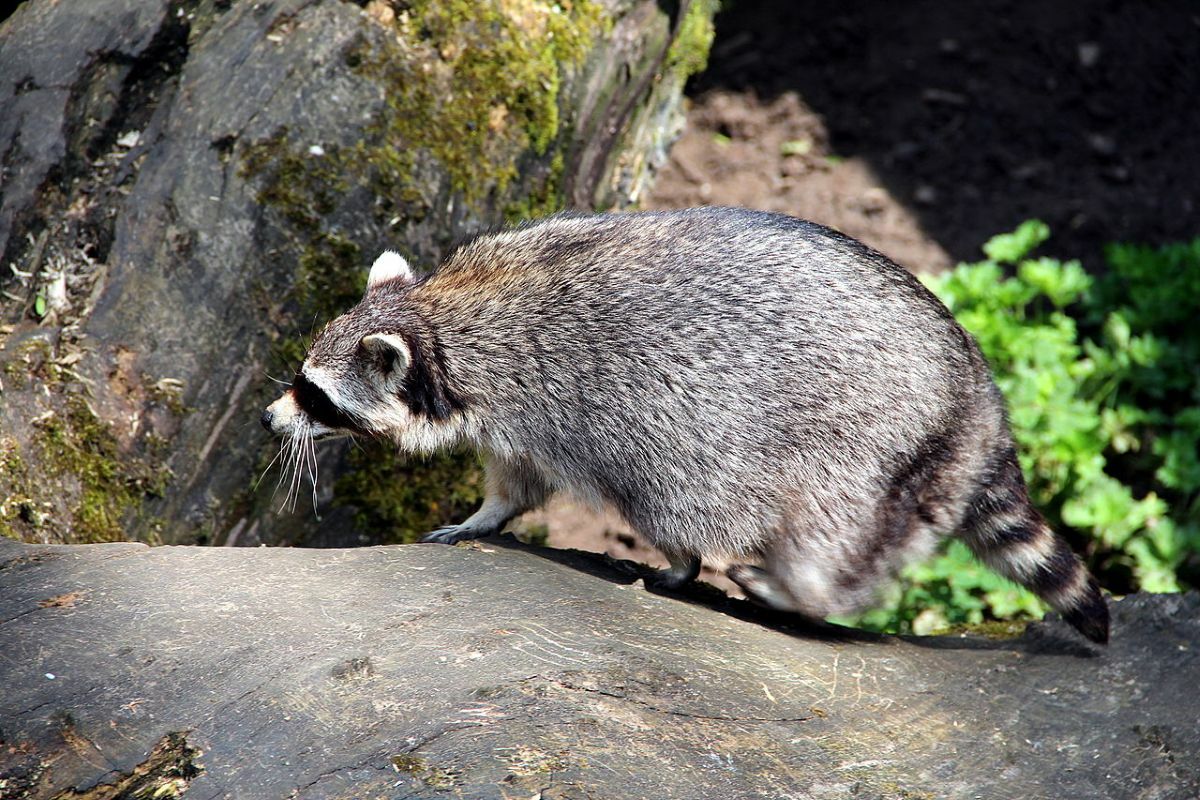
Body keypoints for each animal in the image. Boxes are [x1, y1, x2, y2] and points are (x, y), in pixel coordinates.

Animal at [262, 207, 1109, 643]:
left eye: (317, 396)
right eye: (302, 380)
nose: (271, 419)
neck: (443, 320)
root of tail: (980, 402)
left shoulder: (587, 408)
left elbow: (670, 501)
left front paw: (679, 563)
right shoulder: (514, 417)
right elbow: (515, 480)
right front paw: (484, 514)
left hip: (868, 446)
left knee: (827, 535)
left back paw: (800, 586)